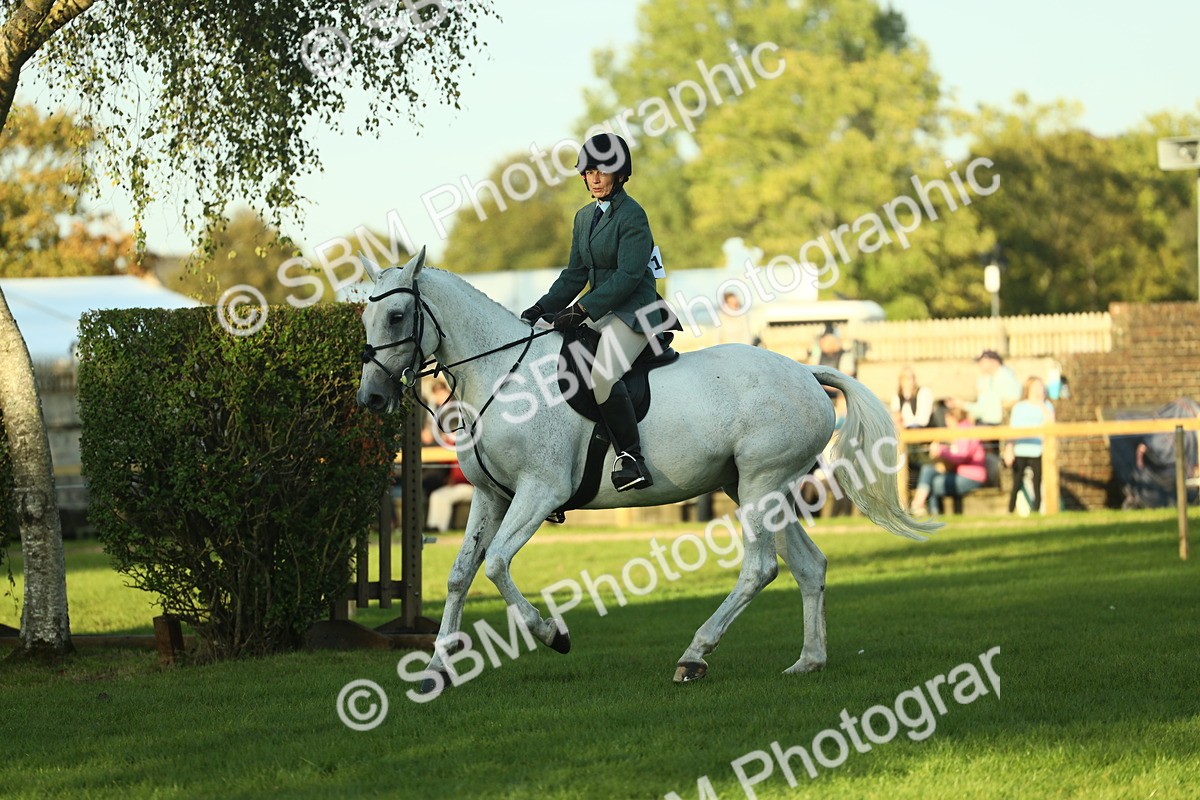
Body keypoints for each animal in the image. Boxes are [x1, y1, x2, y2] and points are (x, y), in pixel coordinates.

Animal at [356, 248, 939, 688]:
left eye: (397, 316)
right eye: (364, 317)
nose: (371, 398)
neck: (504, 375)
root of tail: (806, 372)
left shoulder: (540, 492)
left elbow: (497, 564)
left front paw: (553, 635)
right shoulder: (491, 495)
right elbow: (461, 574)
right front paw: (436, 668)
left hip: (759, 484)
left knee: (760, 568)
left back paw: (695, 655)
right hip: (757, 489)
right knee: (809, 566)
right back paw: (808, 661)